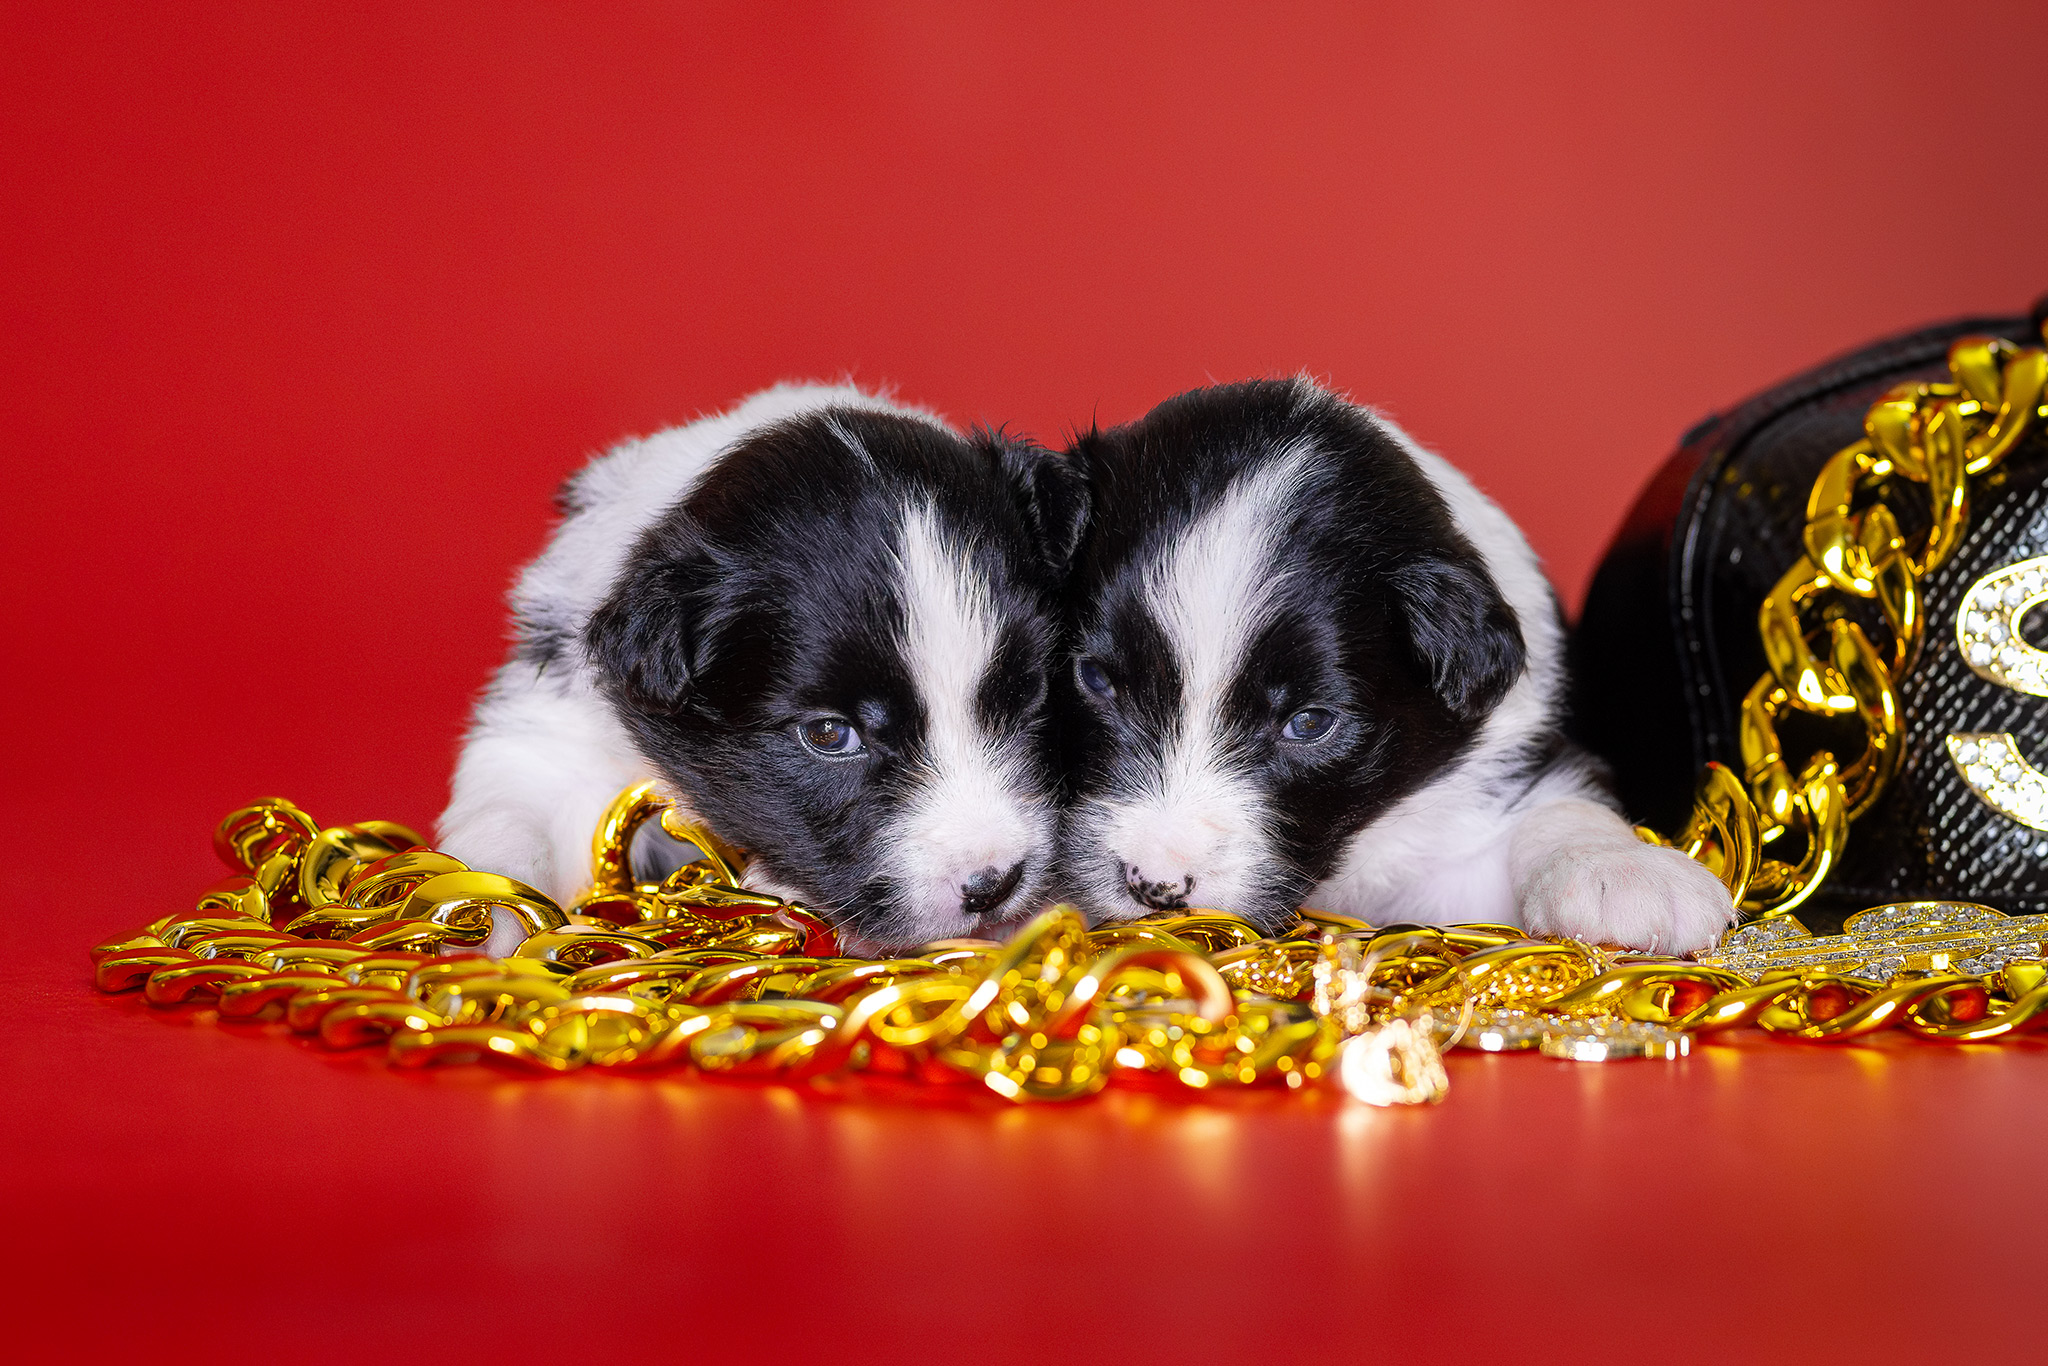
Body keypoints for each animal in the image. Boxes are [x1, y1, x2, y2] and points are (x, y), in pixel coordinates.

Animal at [436, 382, 1089, 950]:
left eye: (1027, 694)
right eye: (829, 734)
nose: (994, 884)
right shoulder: (550, 731)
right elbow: (508, 821)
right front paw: (481, 926)